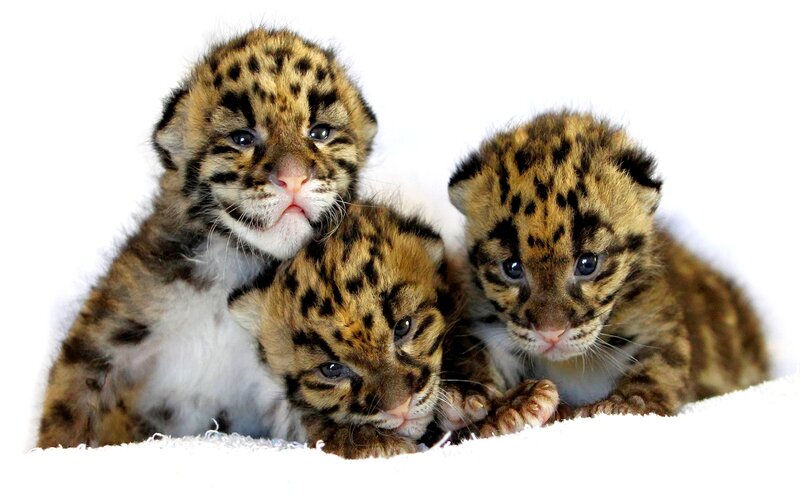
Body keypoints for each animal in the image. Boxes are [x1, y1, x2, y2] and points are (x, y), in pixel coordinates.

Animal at [37, 27, 377, 448]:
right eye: (243, 138)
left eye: (320, 133)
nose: (293, 177)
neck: (234, 264)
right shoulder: (106, 336)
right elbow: (68, 406)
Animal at [445, 111, 770, 422]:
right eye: (512, 268)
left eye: (587, 264)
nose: (551, 333)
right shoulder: (486, 325)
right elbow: (478, 357)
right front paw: (496, 403)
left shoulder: (654, 316)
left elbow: (663, 361)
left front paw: (627, 402)